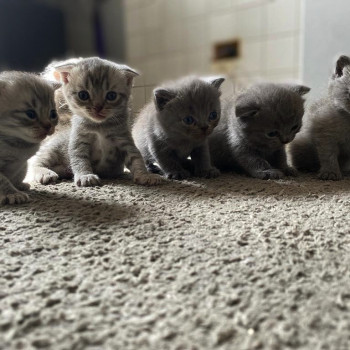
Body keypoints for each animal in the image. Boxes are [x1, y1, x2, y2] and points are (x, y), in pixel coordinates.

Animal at [0, 71, 58, 204]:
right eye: (30, 114)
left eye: (53, 114)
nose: (48, 126)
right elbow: (3, 181)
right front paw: (12, 193)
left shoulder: (21, 164)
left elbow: (13, 178)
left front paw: (17, 187)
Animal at [30, 56, 163, 186]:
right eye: (83, 95)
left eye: (111, 96)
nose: (98, 107)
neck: (99, 127)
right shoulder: (79, 143)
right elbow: (79, 160)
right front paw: (85, 175)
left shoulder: (125, 141)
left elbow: (137, 158)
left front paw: (145, 175)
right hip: (51, 150)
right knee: (34, 164)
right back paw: (45, 173)